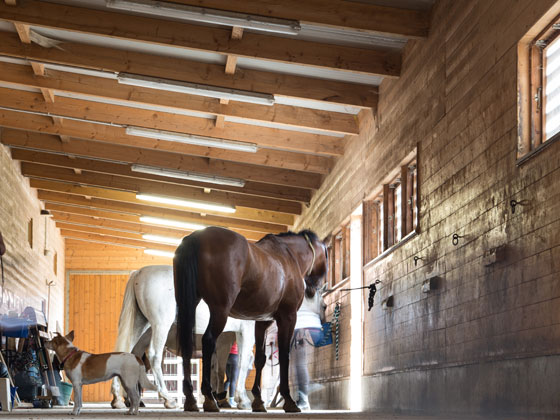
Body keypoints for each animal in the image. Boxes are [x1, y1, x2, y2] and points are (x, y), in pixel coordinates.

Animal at [173, 228, 326, 412]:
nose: (314, 290)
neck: (289, 255)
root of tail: (198, 236)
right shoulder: (288, 318)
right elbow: (284, 356)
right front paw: (289, 400)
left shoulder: (262, 322)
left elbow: (261, 358)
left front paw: (258, 401)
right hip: (220, 310)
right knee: (208, 341)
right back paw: (209, 398)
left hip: (188, 304)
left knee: (187, 343)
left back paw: (190, 398)